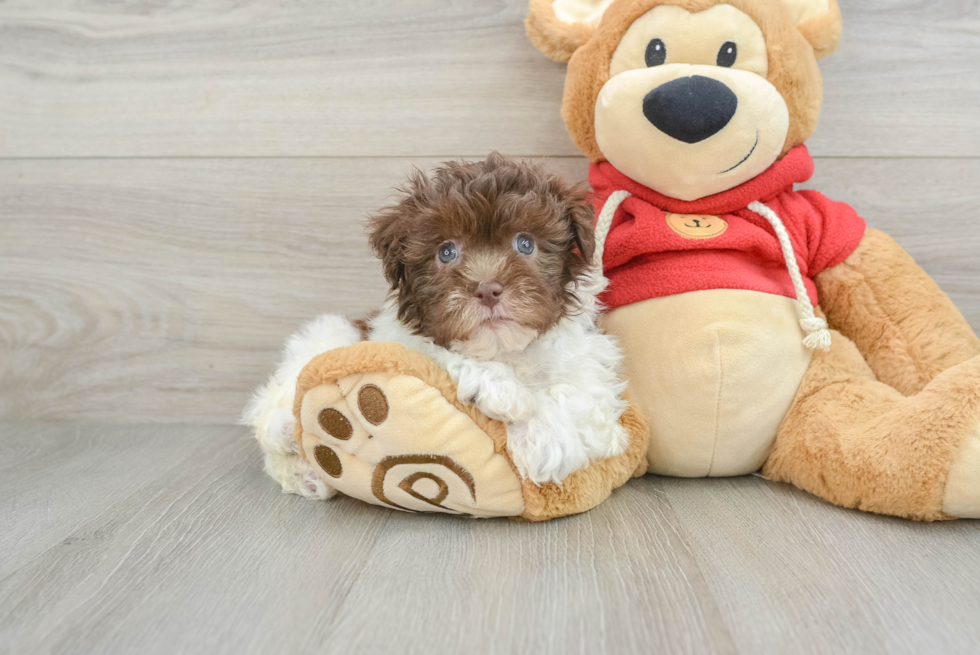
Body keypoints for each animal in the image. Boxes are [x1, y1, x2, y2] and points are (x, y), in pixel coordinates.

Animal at [245, 155, 628, 502]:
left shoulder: (590, 369)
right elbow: (440, 354)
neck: (504, 350)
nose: (487, 289)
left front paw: (544, 438)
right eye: (446, 252)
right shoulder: (399, 340)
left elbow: (578, 398)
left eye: (525, 243)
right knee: (271, 412)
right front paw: (503, 392)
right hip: (328, 334)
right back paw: (291, 439)